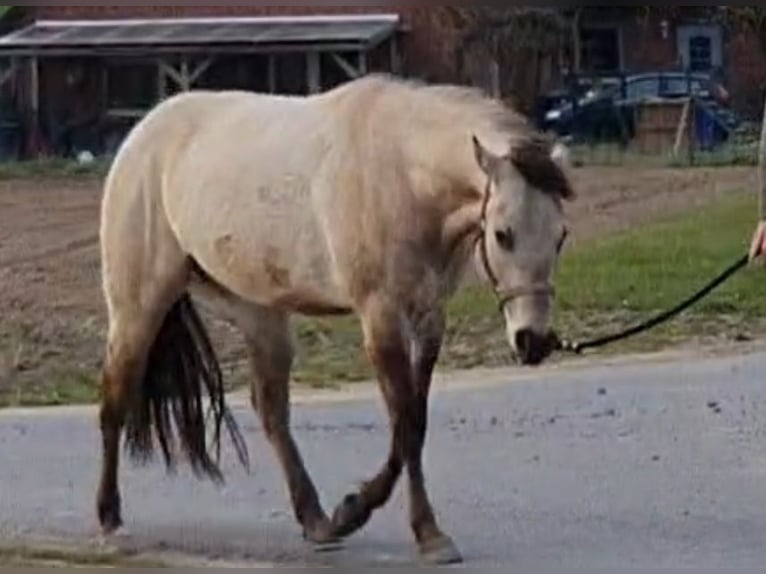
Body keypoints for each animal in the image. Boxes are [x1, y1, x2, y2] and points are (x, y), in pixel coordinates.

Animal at [95, 73, 575, 565]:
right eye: (503, 234)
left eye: (560, 235)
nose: (534, 341)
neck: (401, 175)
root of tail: (143, 134)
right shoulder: (381, 316)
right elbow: (405, 423)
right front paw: (424, 532)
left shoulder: (428, 317)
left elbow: (414, 421)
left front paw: (354, 511)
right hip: (138, 307)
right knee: (115, 398)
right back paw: (111, 520)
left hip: (260, 316)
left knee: (272, 412)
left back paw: (317, 521)